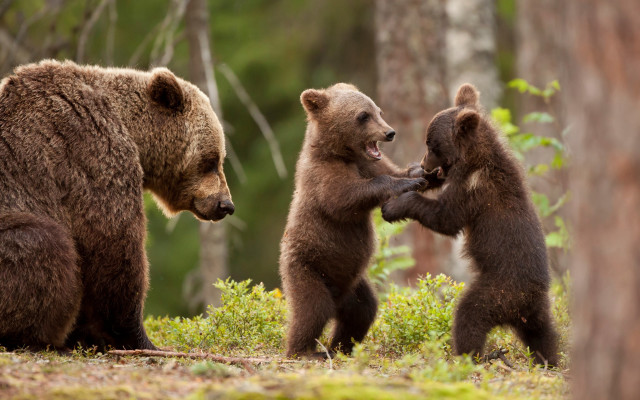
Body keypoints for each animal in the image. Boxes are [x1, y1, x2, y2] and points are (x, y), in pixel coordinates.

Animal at [0, 60, 234, 351]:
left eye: (219, 158)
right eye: (212, 160)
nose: (226, 204)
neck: (133, 132)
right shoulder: (90, 153)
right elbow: (114, 245)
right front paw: (138, 338)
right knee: (42, 242)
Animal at [279, 83, 430, 358]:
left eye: (378, 110)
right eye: (362, 115)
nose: (390, 132)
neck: (341, 153)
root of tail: (338, 297)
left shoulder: (369, 163)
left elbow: (391, 171)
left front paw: (418, 172)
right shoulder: (322, 176)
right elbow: (344, 198)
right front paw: (406, 183)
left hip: (354, 284)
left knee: (362, 310)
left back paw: (340, 347)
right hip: (307, 268)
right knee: (312, 309)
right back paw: (304, 350)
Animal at [381, 83, 559, 366]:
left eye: (431, 144)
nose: (424, 164)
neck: (473, 160)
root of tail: (526, 301)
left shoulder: (474, 191)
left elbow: (445, 218)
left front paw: (393, 207)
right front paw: (415, 176)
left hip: (499, 291)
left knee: (469, 315)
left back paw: (471, 355)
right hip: (535, 311)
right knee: (544, 334)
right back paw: (549, 360)